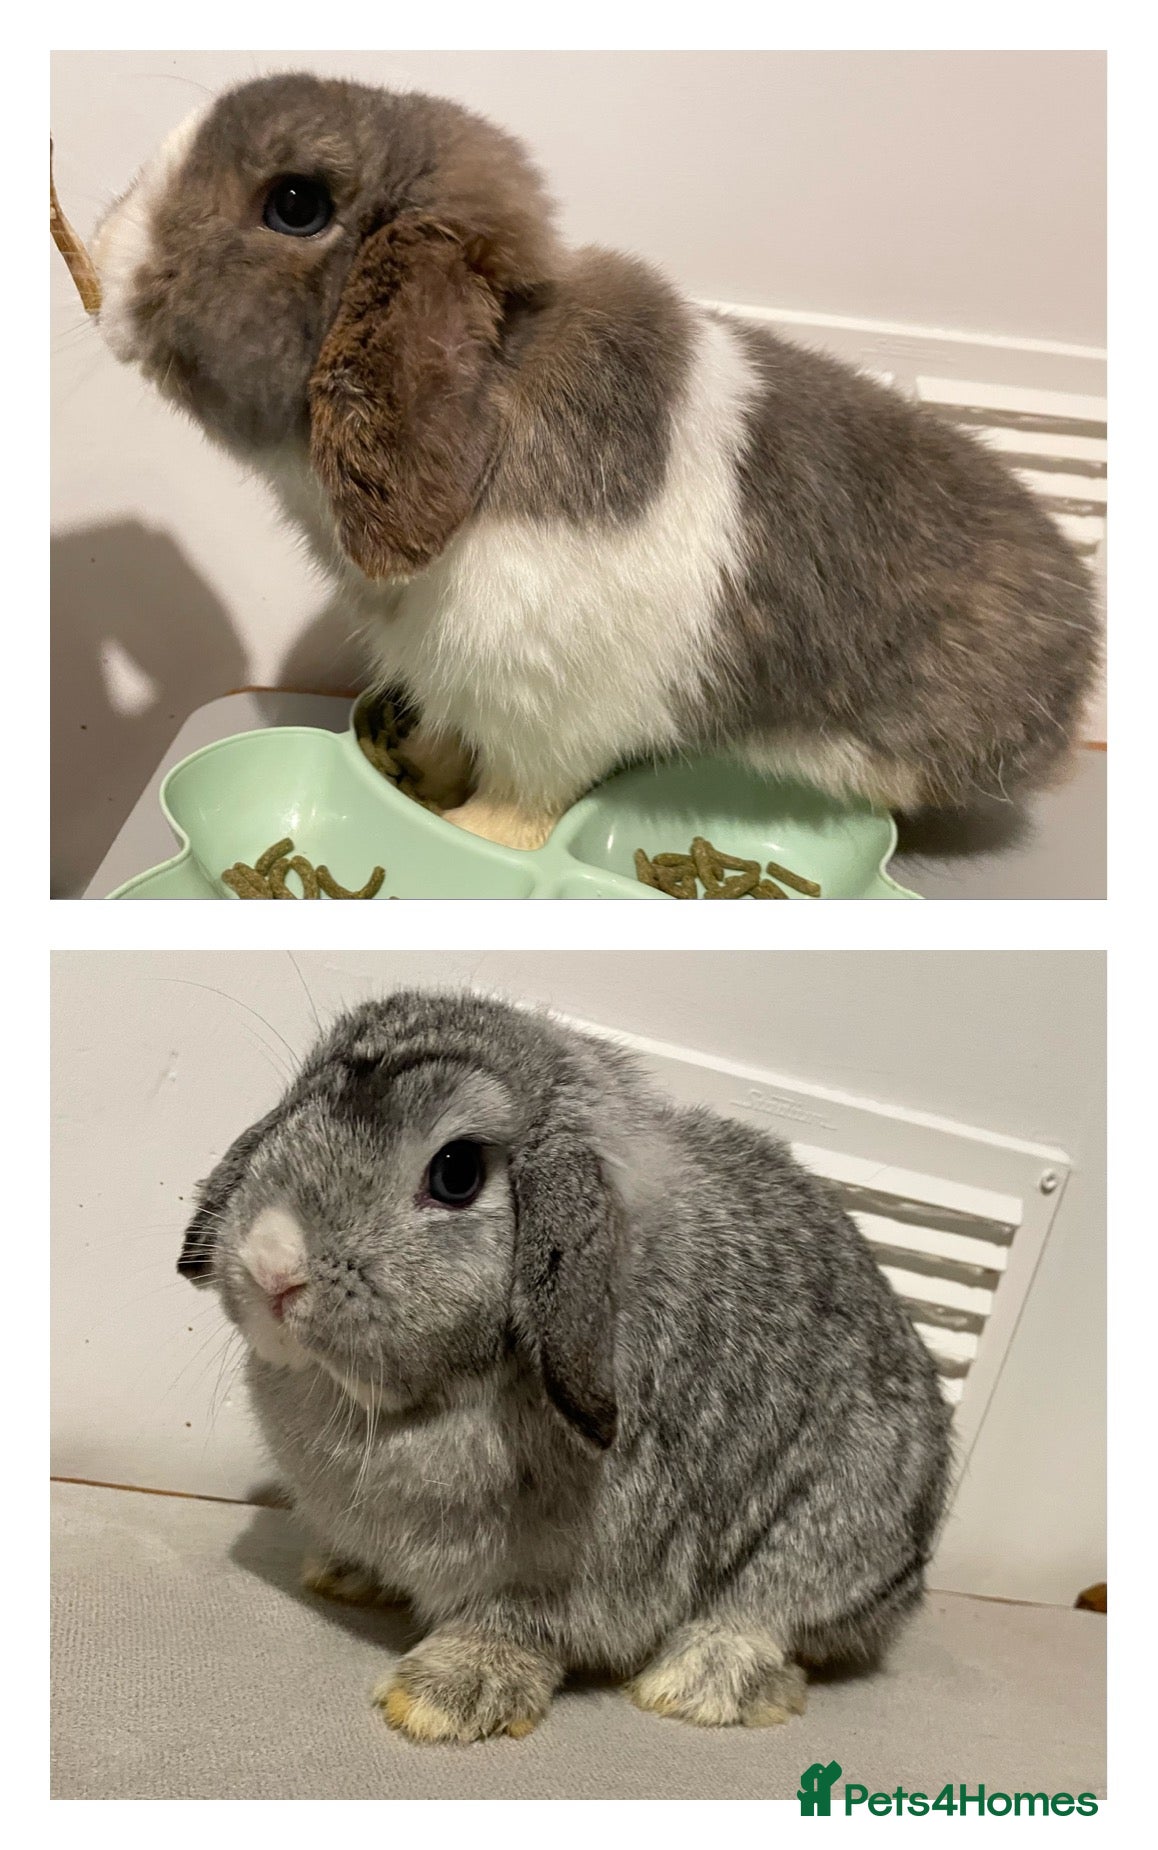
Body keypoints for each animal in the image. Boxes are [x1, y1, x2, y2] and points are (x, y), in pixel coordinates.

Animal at [92, 72, 1100, 850]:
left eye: (295, 204)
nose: (101, 255)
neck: (499, 385)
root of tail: (1074, 673)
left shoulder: (549, 715)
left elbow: (524, 800)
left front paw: (468, 834)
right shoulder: (455, 680)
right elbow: (454, 740)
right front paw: (417, 768)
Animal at [178, 989, 954, 1742]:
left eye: (456, 1174)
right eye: (295, 1110)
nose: (270, 1262)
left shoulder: (569, 1576)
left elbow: (520, 1626)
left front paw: (443, 1698)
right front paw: (343, 1573)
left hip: (831, 1527)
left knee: (767, 1618)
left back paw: (694, 1685)